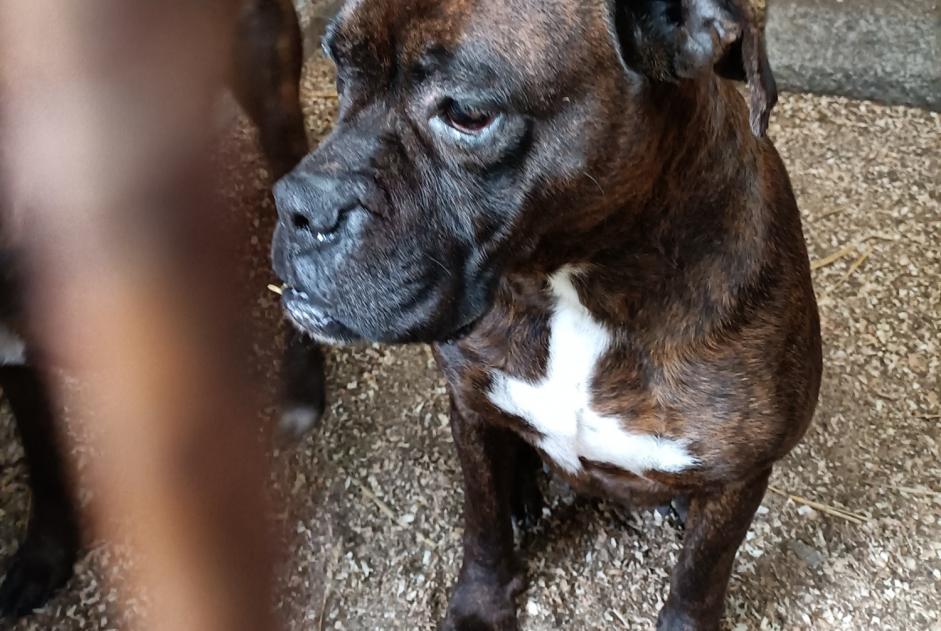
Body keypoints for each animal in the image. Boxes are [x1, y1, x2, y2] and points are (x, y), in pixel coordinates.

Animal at [268, 2, 820, 628]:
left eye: (467, 114)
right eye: (339, 72)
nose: (297, 205)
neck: (572, 286)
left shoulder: (742, 477)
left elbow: (700, 578)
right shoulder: (471, 407)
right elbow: (482, 523)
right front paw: (482, 601)